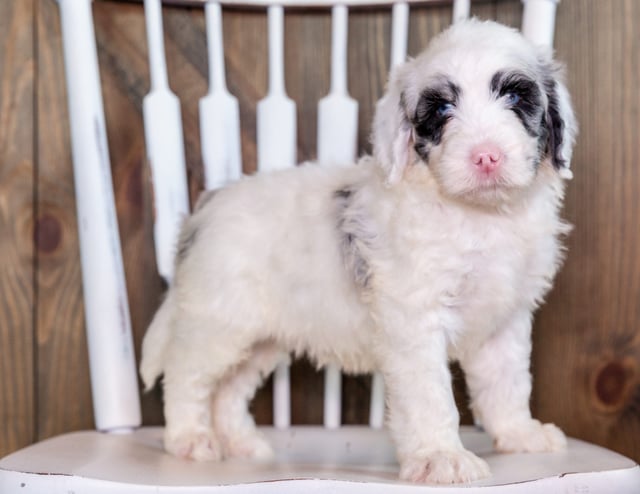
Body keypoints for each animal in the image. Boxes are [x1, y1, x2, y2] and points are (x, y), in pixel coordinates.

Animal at [141, 18, 580, 482]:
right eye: (442, 110)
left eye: (515, 97)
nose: (486, 157)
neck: (480, 217)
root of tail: (202, 214)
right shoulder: (414, 315)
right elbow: (430, 394)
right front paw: (442, 456)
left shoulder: (504, 320)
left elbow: (506, 384)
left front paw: (520, 435)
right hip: (218, 322)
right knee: (186, 375)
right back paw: (189, 439)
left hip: (259, 340)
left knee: (228, 390)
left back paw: (240, 443)